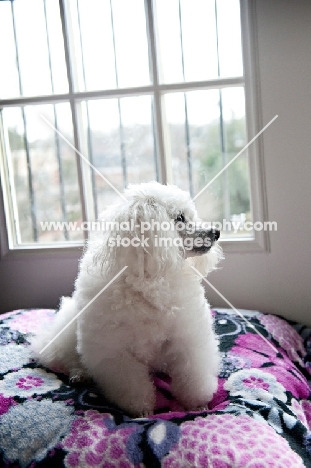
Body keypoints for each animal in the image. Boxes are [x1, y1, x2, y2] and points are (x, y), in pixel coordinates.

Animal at [33, 181, 223, 414]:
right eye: (179, 218)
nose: (216, 232)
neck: (148, 282)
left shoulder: (188, 337)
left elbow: (193, 372)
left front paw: (197, 404)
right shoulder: (115, 352)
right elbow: (131, 385)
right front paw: (141, 409)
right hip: (69, 330)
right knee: (65, 356)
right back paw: (79, 373)